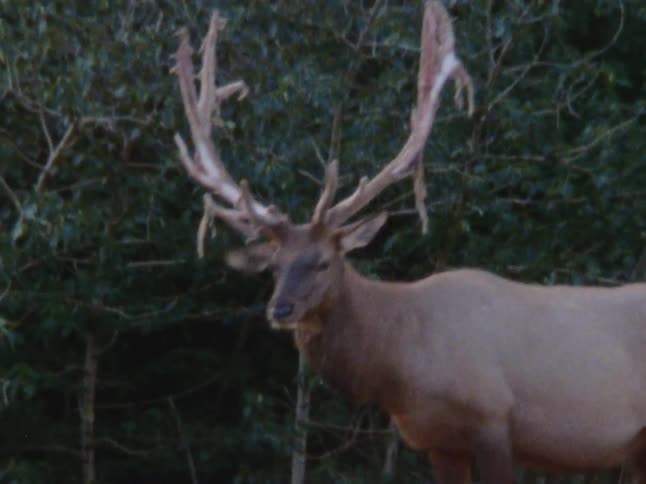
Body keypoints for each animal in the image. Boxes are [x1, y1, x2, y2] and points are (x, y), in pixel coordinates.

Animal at [171, 2, 646, 483]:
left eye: (324, 261)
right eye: (274, 265)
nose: (280, 310)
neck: (402, 364)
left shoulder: (495, 418)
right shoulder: (440, 441)